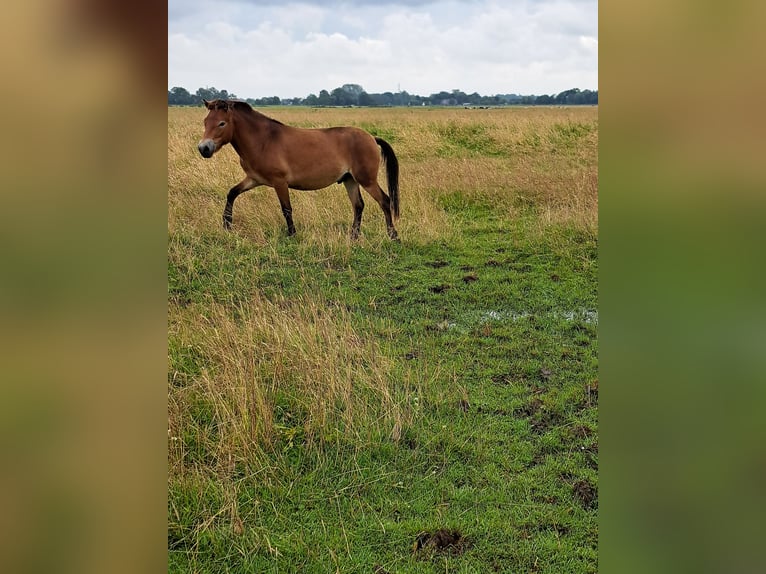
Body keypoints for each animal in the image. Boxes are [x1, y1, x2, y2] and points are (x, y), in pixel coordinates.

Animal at [198, 100, 402, 240]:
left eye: (222, 123)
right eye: (205, 121)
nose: (204, 148)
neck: (263, 140)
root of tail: (372, 138)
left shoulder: (279, 182)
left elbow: (286, 209)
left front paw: (292, 234)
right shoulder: (253, 179)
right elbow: (232, 193)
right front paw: (227, 224)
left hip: (366, 180)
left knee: (385, 201)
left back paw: (393, 235)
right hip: (350, 180)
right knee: (358, 205)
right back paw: (354, 236)